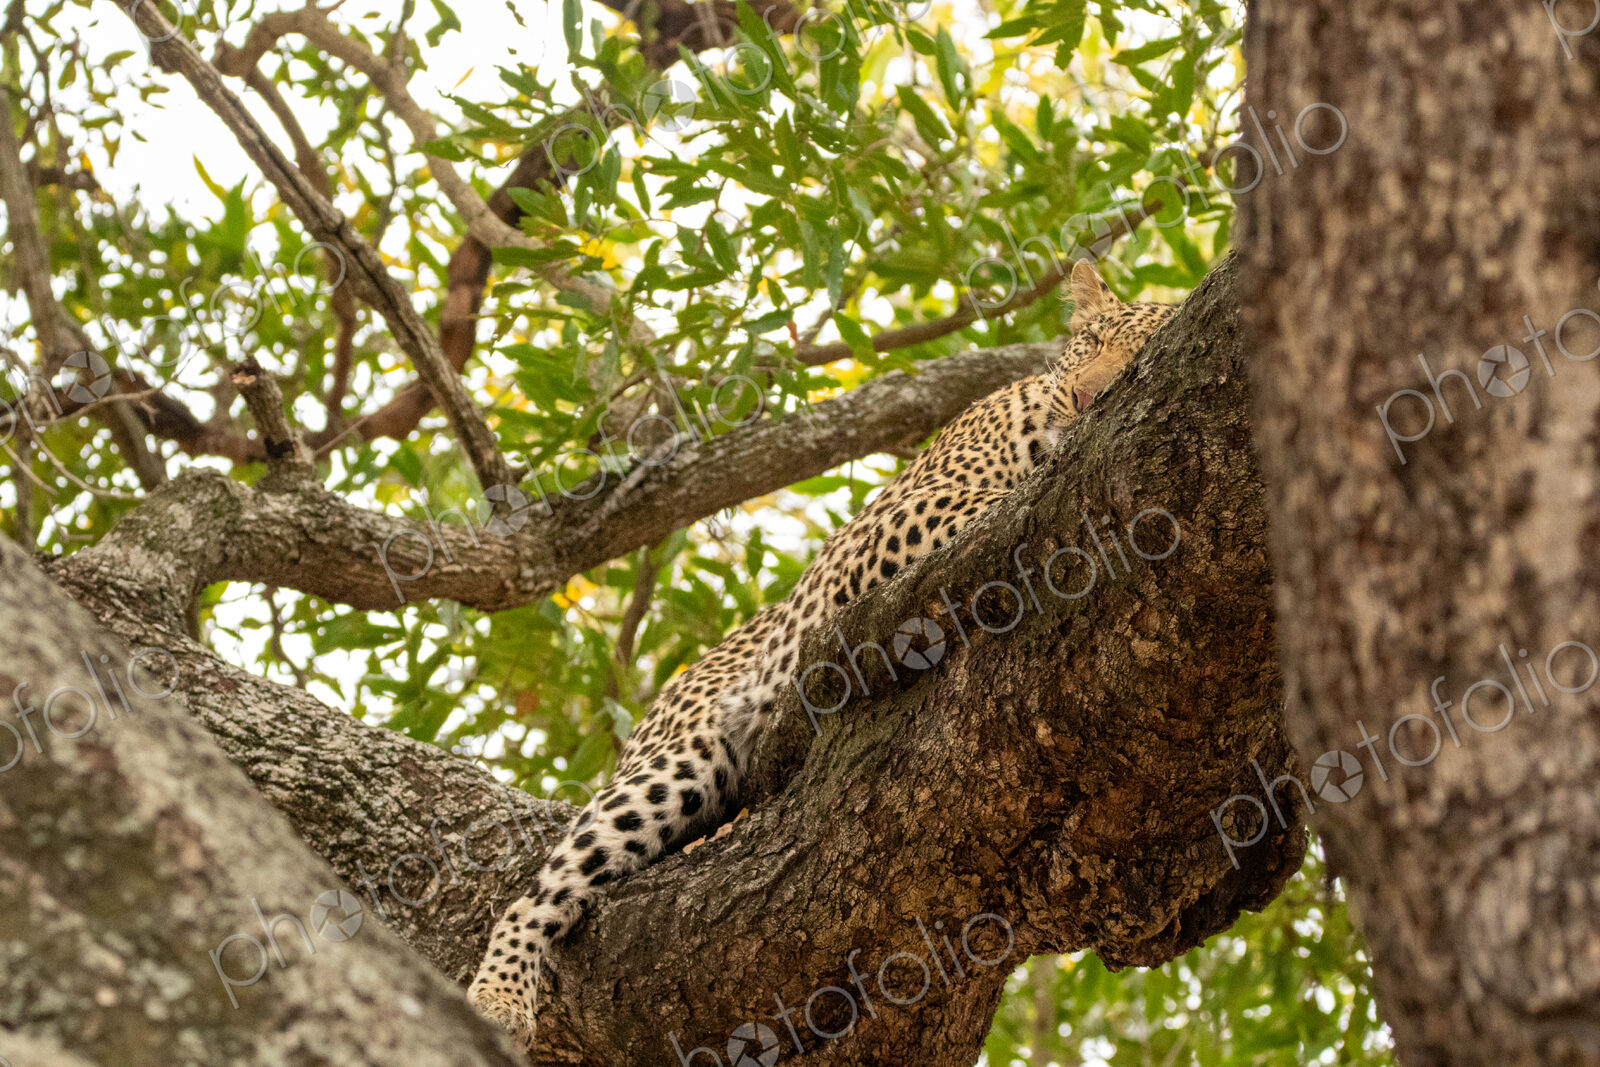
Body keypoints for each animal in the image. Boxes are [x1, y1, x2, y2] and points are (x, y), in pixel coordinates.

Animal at [467, 259, 1177, 1046]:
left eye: (1138, 360)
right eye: (1091, 343)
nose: (1085, 398)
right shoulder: (884, 533)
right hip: (678, 758)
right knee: (538, 891)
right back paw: (499, 993)